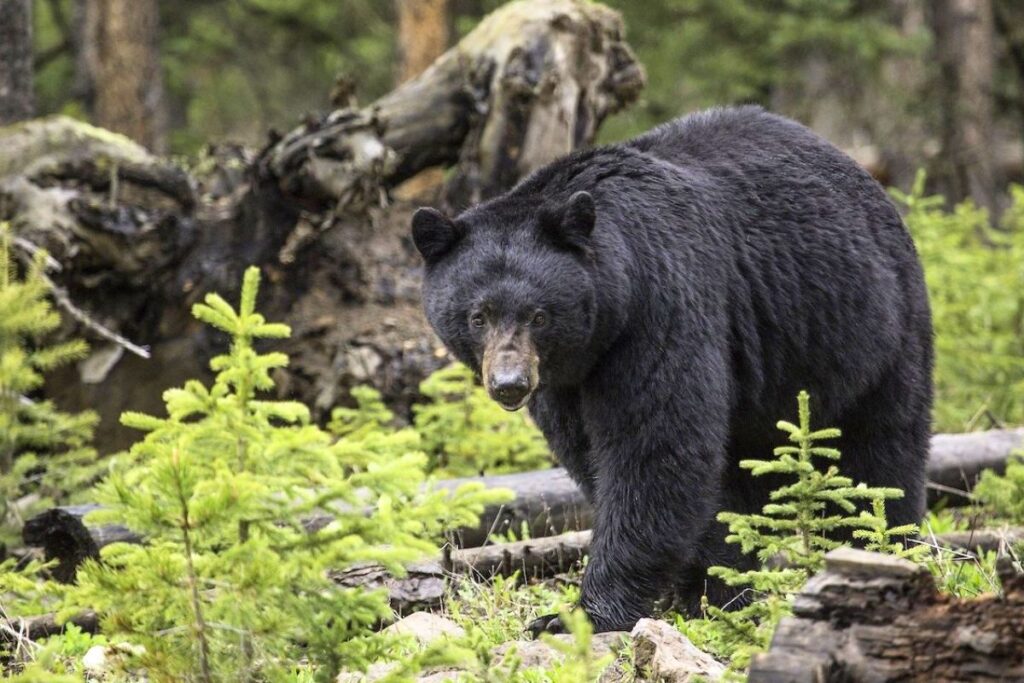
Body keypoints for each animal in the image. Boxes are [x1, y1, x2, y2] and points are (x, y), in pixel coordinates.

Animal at [411, 107, 933, 634]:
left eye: (539, 315)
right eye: (478, 316)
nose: (510, 385)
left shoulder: (660, 307)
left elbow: (655, 449)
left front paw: (581, 614)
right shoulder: (566, 380)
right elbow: (593, 454)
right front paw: (707, 587)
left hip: (871, 330)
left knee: (878, 454)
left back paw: (878, 548)